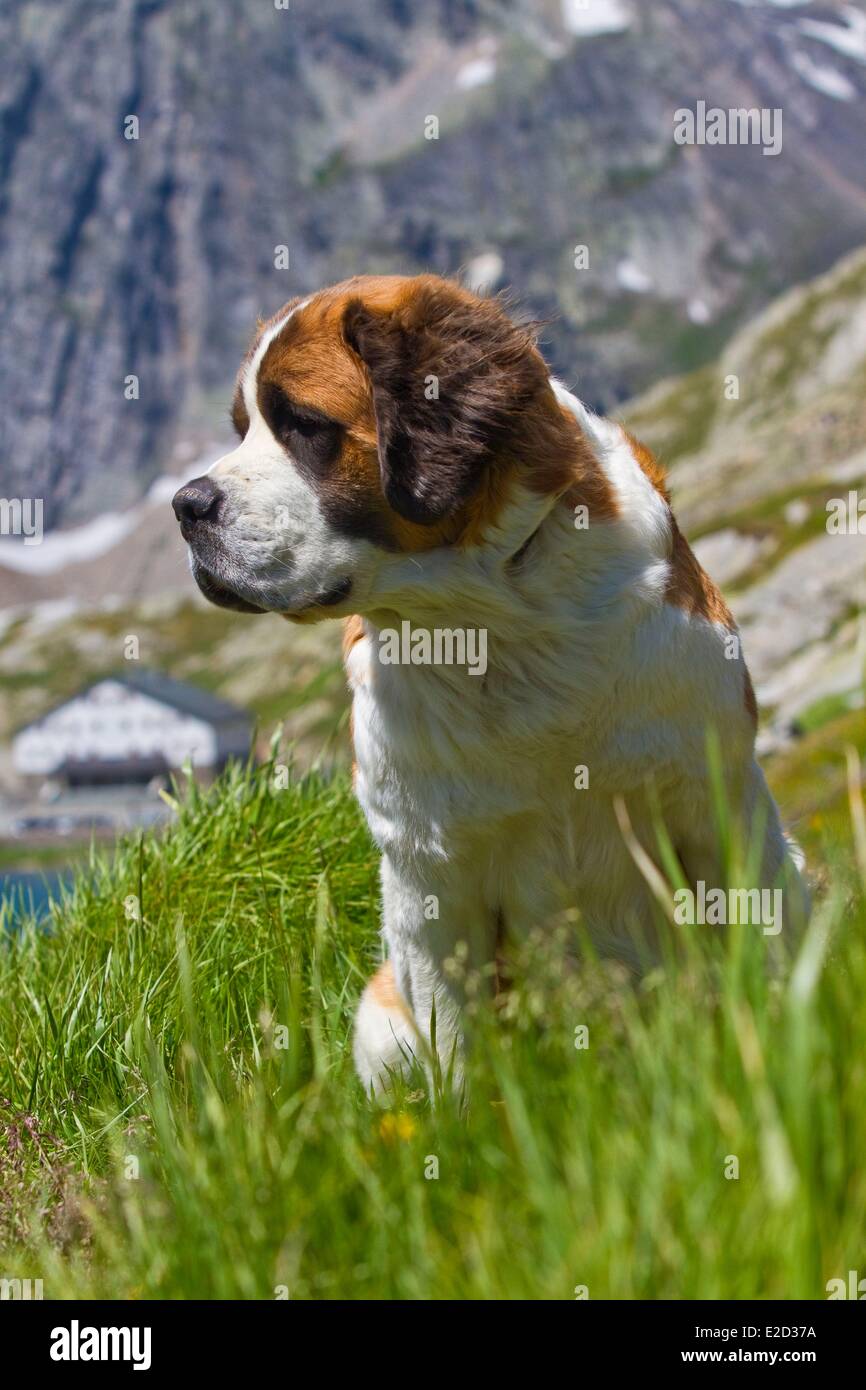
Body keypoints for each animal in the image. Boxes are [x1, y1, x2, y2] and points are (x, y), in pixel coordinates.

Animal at [173, 273, 811, 1095]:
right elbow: (453, 1033)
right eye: (242, 426)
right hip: (380, 1010)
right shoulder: (431, 872)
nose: (185, 506)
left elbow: (763, 940)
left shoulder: (719, 804)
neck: (493, 624)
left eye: (303, 425)